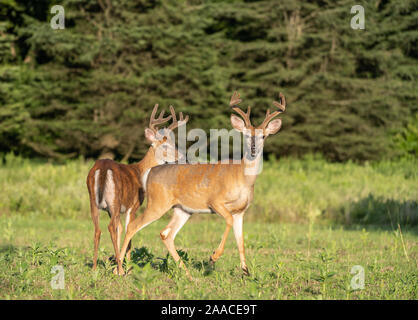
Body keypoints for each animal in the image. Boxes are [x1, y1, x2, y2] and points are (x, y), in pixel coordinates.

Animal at [85, 105, 189, 276]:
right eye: (165, 146)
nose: (182, 157)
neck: (141, 171)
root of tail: (103, 168)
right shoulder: (132, 206)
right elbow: (128, 230)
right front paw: (125, 265)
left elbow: (121, 229)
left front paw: (120, 262)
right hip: (115, 199)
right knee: (110, 227)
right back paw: (120, 270)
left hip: (93, 200)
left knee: (97, 229)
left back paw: (94, 268)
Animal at [116, 90, 286, 278]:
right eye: (247, 135)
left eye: (263, 135)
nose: (254, 149)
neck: (242, 178)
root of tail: (150, 172)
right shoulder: (216, 201)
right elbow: (228, 221)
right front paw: (213, 257)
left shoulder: (240, 211)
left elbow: (241, 241)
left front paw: (246, 272)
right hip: (157, 203)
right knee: (133, 226)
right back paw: (119, 269)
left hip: (182, 209)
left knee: (166, 234)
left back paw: (188, 275)